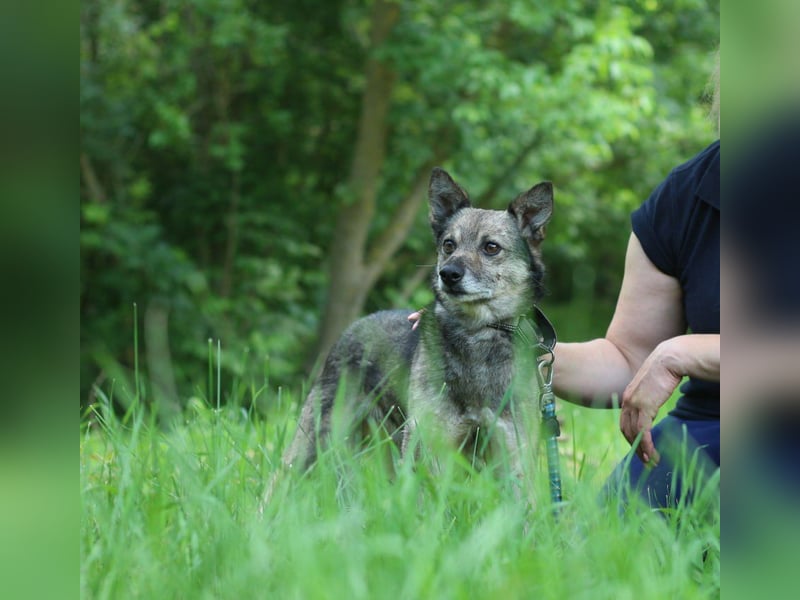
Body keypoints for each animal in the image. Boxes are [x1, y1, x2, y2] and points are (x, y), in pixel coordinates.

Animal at [279, 167, 554, 493]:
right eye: (448, 245)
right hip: (315, 441)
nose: (448, 274)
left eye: (491, 247)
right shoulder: (428, 449)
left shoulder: (513, 452)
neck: (476, 334)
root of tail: (356, 325)